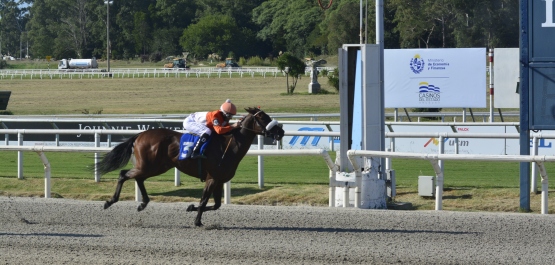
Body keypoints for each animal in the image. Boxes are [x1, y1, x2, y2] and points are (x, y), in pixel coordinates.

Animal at [95, 106, 284, 226]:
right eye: (262, 117)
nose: (281, 131)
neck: (229, 145)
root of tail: (140, 135)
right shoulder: (211, 178)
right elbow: (204, 200)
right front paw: (197, 220)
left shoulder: (219, 180)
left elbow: (216, 205)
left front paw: (191, 207)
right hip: (149, 166)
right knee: (124, 174)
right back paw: (110, 201)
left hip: (156, 167)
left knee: (138, 178)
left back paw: (143, 203)